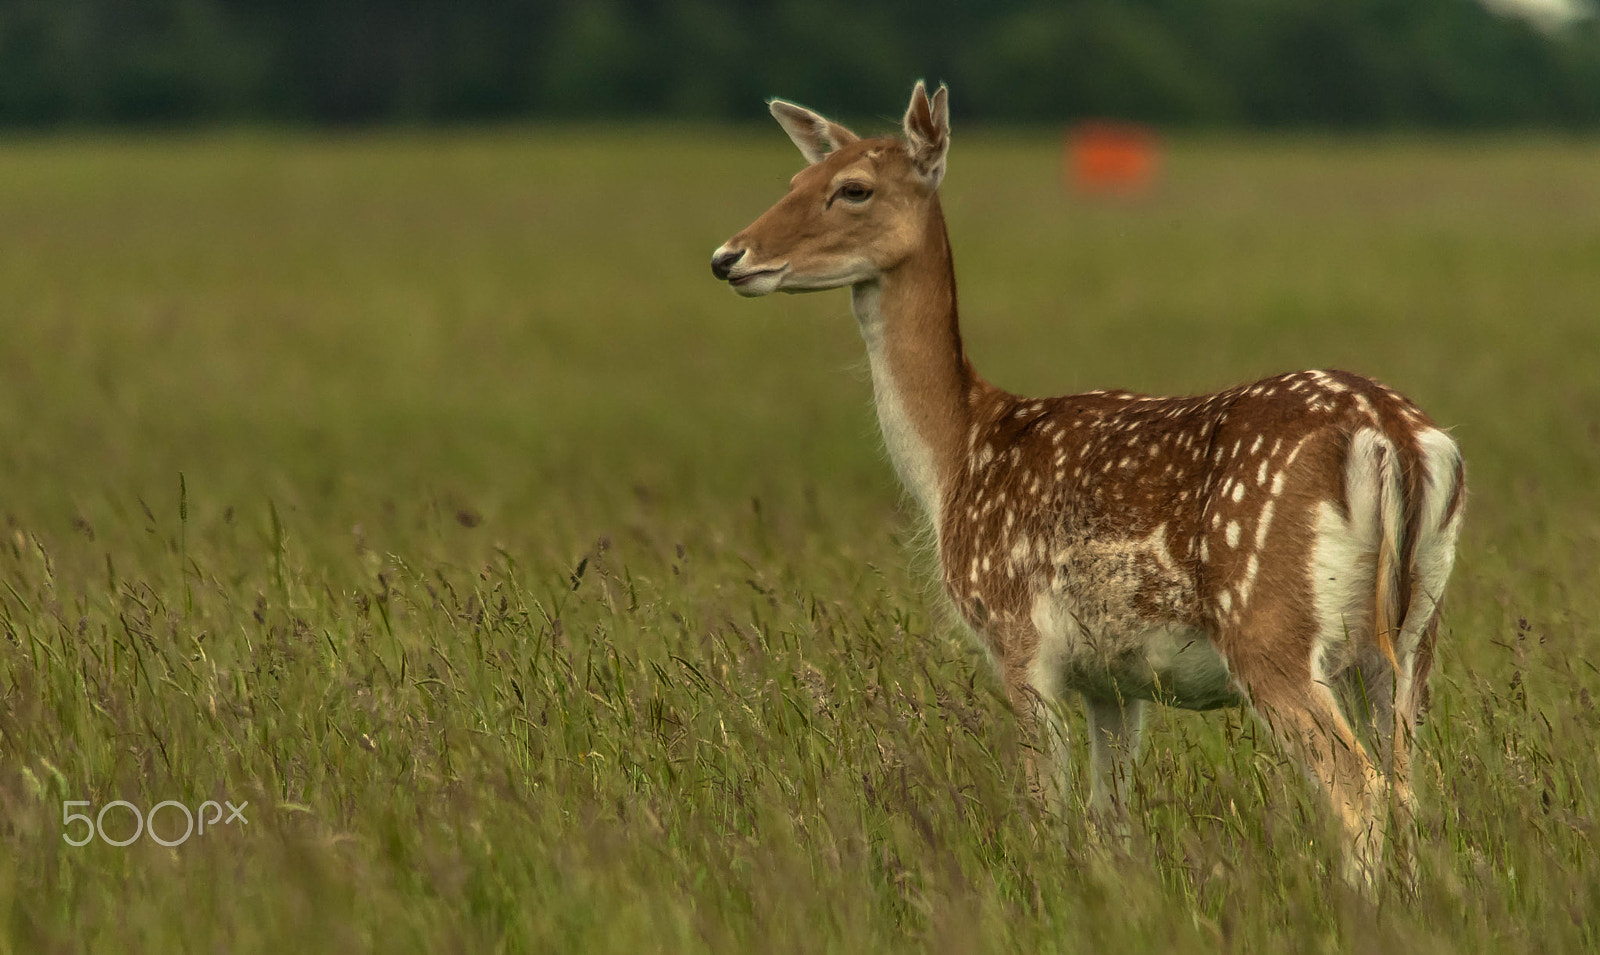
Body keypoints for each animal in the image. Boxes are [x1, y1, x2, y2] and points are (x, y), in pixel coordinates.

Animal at [709, 81, 1465, 888]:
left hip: (1271, 623)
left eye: (853, 188)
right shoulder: (1116, 681)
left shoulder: (1018, 637)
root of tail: (1391, 435)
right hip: (1413, 635)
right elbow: (1111, 821)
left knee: (1358, 788)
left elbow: (1047, 808)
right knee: (1410, 789)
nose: (729, 256)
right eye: (796, 178)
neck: (959, 458)